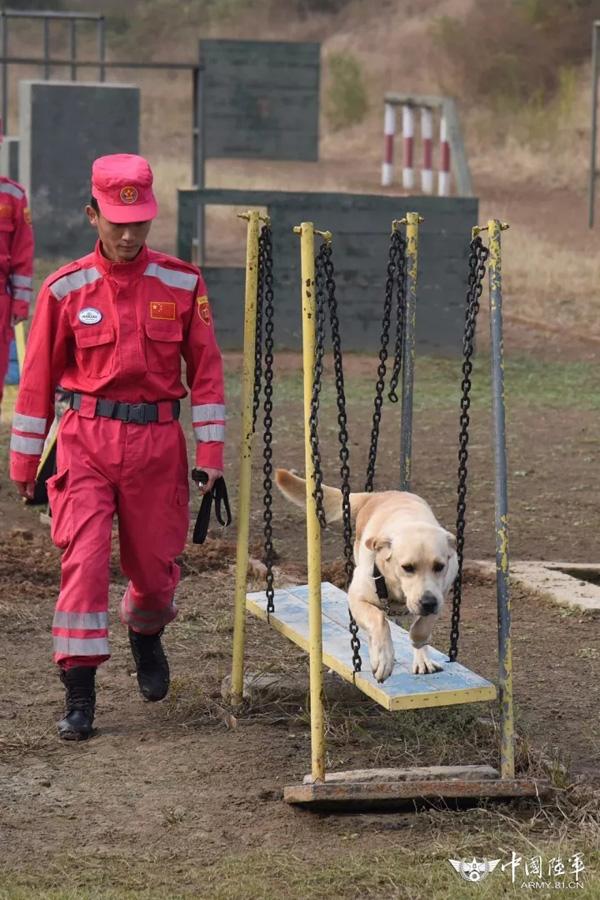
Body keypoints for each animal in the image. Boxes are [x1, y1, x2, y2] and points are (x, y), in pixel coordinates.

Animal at [274, 472, 458, 684]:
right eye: (407, 567)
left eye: (439, 566)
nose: (428, 603)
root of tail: (376, 495)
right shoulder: (357, 598)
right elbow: (379, 620)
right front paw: (384, 659)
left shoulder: (443, 590)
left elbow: (422, 627)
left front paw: (418, 642)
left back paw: (422, 660)